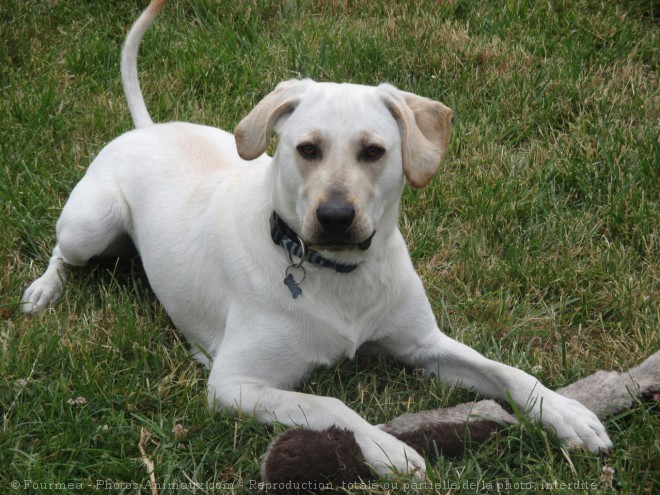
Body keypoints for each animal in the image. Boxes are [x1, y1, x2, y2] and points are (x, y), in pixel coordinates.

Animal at [21, 0, 608, 478]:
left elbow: (505, 370)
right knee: (61, 252)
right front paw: (387, 449)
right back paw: (43, 290)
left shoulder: (423, 342)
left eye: (374, 151)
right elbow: (331, 407)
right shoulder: (235, 384)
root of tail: (145, 130)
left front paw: (568, 413)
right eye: (306, 149)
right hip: (91, 223)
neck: (337, 274)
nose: (335, 216)